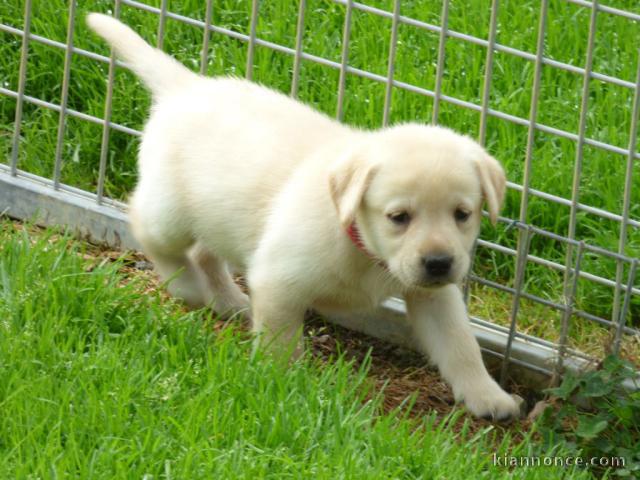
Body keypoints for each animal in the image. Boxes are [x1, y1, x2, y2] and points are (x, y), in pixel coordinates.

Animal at [89, 13, 520, 420]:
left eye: (463, 214)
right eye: (398, 217)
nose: (439, 262)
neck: (361, 244)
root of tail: (187, 87)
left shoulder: (433, 295)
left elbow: (460, 344)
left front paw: (488, 396)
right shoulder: (278, 280)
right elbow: (279, 343)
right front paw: (281, 386)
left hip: (218, 217)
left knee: (204, 253)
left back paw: (228, 301)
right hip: (170, 212)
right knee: (149, 229)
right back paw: (188, 286)